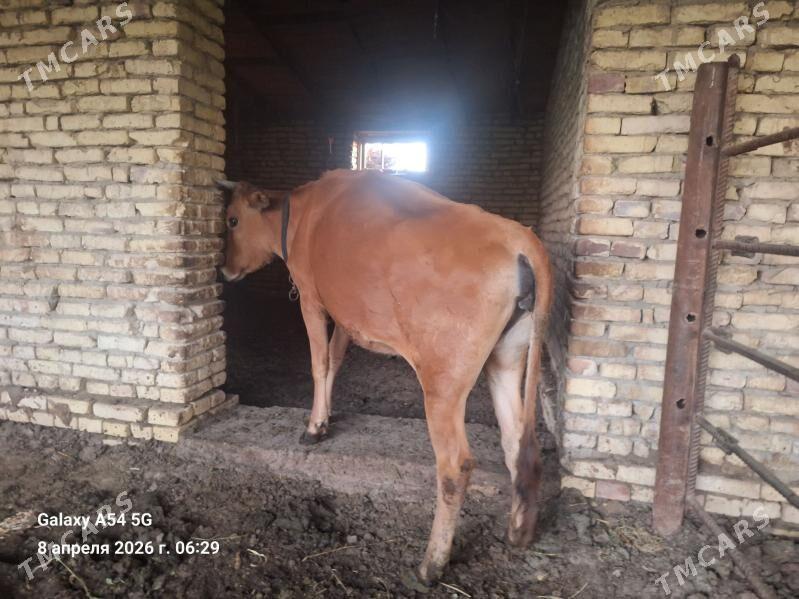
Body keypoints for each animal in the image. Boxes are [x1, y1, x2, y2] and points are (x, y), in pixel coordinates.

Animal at [217, 169, 553, 585]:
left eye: (231, 220)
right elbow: (336, 359)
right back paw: (519, 532)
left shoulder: (312, 298)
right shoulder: (346, 312)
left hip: (443, 381)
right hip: (507, 358)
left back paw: (431, 565)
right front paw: (327, 416)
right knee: (520, 445)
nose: (224, 270)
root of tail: (520, 238)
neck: (301, 214)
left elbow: (319, 362)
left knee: (455, 465)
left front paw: (314, 427)